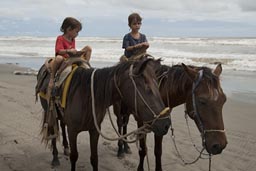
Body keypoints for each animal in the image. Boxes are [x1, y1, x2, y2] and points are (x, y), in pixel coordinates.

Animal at [37, 57, 171, 171]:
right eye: (147, 88)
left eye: (157, 85)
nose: (166, 124)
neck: (86, 95)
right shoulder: (73, 131)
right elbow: (74, 157)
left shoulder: (94, 130)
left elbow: (94, 158)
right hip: (49, 112)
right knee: (53, 133)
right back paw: (55, 158)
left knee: (62, 125)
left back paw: (65, 147)